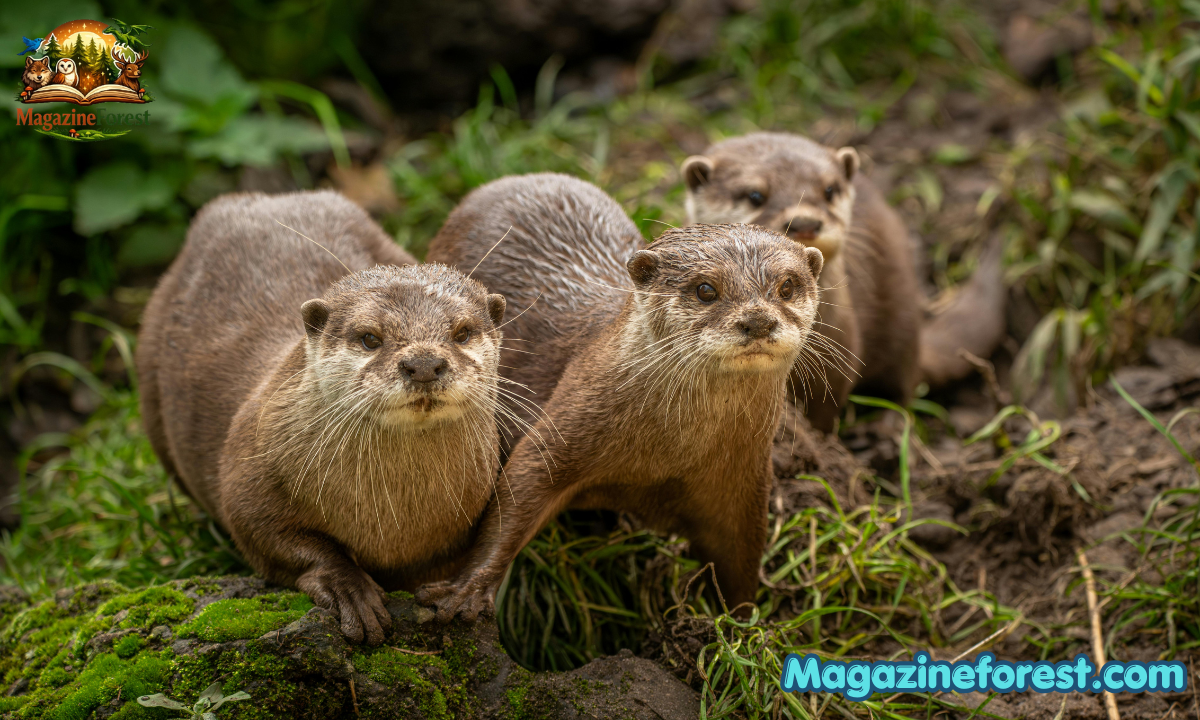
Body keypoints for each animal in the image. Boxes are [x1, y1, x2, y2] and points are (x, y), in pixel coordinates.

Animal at [137, 191, 507, 644]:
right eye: (370, 338)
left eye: (462, 332)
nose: (423, 363)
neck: (392, 521)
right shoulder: (248, 478)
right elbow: (274, 538)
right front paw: (350, 591)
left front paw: (463, 593)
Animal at [420, 173, 824, 620]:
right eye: (705, 289)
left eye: (787, 286)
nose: (758, 320)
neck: (664, 456)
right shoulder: (564, 426)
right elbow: (515, 498)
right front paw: (466, 590)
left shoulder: (744, 483)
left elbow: (741, 558)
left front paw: (742, 622)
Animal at [681, 132, 1008, 428]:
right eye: (754, 195)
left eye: (829, 189)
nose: (805, 223)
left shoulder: (837, 363)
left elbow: (824, 414)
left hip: (902, 318)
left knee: (903, 387)